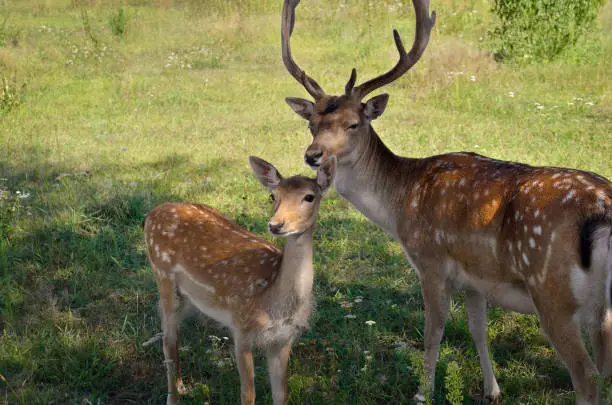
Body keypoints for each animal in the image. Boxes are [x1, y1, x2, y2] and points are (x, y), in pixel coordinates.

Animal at [143, 155, 334, 404]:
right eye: (273, 196)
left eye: (309, 196)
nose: (276, 225)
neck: (273, 300)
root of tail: (150, 215)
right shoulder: (241, 328)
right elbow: (248, 394)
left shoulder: (283, 338)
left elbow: (281, 393)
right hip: (162, 275)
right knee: (167, 339)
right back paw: (173, 398)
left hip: (187, 297)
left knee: (175, 339)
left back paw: (182, 387)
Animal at [280, 0, 608, 400]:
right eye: (311, 123)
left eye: (353, 124)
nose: (313, 155)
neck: (398, 204)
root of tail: (602, 209)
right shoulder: (475, 279)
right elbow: (477, 330)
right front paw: (492, 390)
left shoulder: (431, 260)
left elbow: (434, 330)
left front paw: (424, 392)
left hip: (553, 293)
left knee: (588, 376)